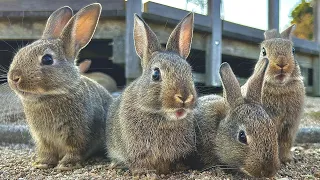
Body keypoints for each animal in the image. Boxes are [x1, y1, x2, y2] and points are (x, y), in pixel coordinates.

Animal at [6, 3, 113, 171]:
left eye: (47, 59)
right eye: (20, 52)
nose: (14, 77)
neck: (52, 95)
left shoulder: (77, 133)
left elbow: (75, 149)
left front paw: (66, 165)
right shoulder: (43, 138)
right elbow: (47, 152)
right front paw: (42, 163)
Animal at [240, 24, 304, 164]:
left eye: (293, 51)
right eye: (263, 52)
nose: (281, 63)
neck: (279, 87)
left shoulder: (290, 126)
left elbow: (285, 143)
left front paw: (287, 160)